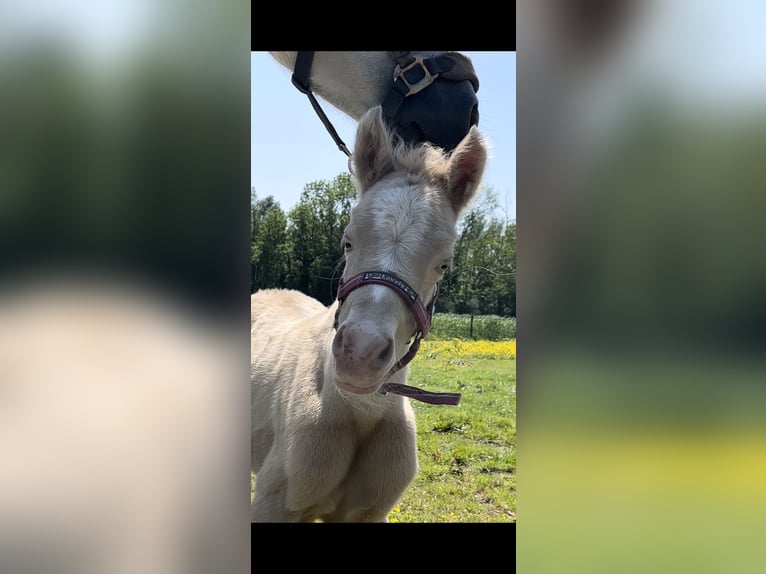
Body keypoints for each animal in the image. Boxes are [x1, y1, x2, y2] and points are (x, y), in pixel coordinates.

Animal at [255, 106, 488, 524]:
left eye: (444, 264)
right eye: (347, 241)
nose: (359, 355)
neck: (358, 413)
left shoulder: (367, 514)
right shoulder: (272, 505)